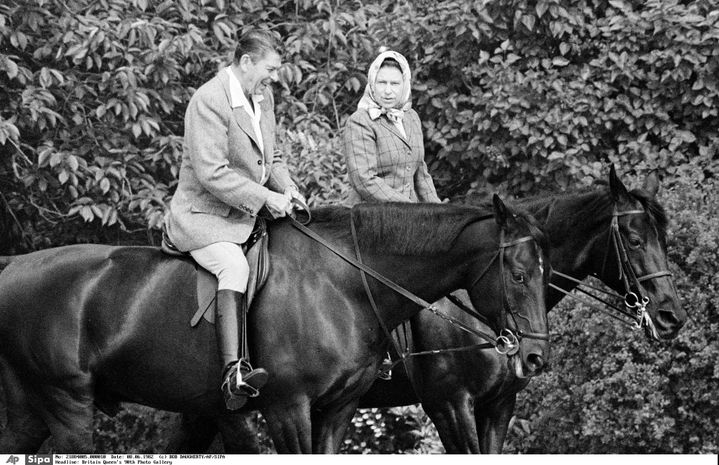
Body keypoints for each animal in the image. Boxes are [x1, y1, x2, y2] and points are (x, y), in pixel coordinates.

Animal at [0, 198, 552, 452]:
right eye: (518, 274)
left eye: (546, 272)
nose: (534, 357)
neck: (343, 282)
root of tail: (13, 265)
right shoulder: (289, 408)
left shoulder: (337, 410)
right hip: (67, 404)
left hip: (33, 408)